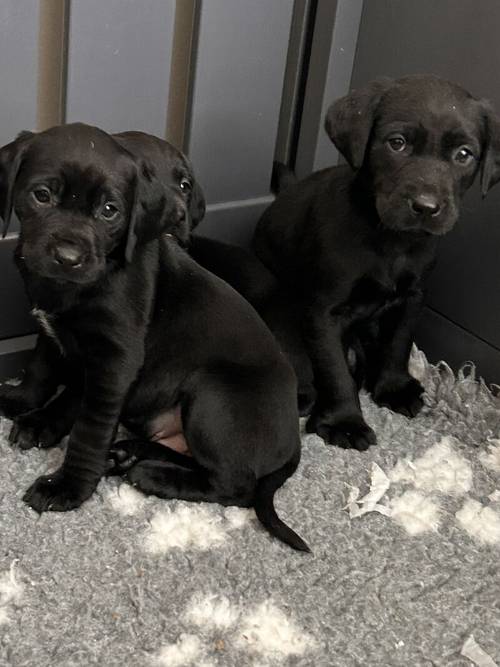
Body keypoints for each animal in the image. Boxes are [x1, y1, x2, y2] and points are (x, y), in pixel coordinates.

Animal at [0, 122, 308, 552]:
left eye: (109, 211)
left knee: (234, 485)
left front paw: (68, 486)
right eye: (41, 195)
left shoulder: (115, 363)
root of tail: (294, 439)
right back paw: (130, 455)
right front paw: (24, 406)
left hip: (214, 393)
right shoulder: (50, 325)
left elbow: (89, 427)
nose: (68, 257)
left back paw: (153, 476)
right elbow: (41, 369)